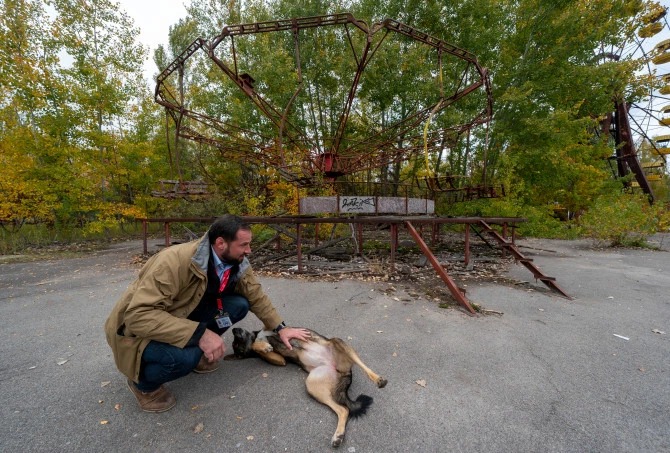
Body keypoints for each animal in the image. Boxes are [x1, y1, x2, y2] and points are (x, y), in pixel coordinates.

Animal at [230, 326, 388, 446]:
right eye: (236, 346)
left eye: (236, 342)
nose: (234, 329)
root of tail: (343, 372)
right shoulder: (279, 359)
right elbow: (258, 348)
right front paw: (262, 347)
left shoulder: (276, 334)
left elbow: (260, 342)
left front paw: (261, 345)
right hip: (312, 386)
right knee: (343, 410)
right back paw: (338, 436)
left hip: (338, 342)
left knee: (363, 367)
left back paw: (378, 379)